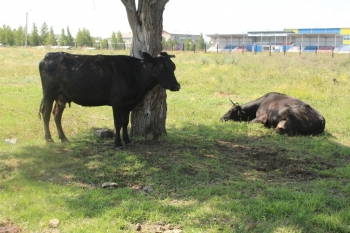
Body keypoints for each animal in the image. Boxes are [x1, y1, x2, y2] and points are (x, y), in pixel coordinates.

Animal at [39, 51, 180, 149]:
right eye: (163, 68)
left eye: (174, 67)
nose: (177, 86)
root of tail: (49, 55)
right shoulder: (117, 101)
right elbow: (117, 123)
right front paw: (118, 144)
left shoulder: (128, 103)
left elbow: (125, 122)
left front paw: (127, 140)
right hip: (49, 93)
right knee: (46, 115)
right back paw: (49, 139)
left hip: (61, 96)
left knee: (56, 115)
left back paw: (63, 138)